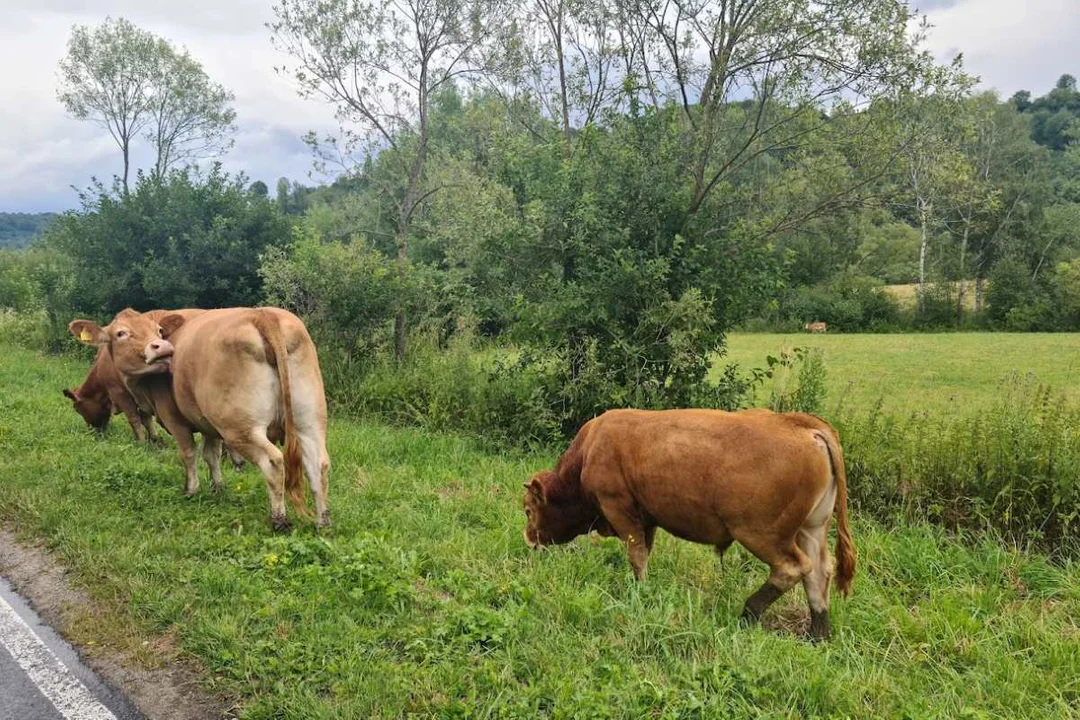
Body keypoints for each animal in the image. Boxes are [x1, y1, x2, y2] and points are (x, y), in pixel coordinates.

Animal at [70, 306, 330, 533]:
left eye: (158, 330)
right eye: (121, 333)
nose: (162, 347)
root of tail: (263, 315)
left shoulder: (174, 418)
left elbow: (188, 453)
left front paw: (191, 489)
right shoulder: (208, 424)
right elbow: (211, 455)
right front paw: (218, 487)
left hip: (241, 428)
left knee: (273, 462)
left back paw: (279, 520)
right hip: (309, 422)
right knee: (318, 463)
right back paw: (322, 522)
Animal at [518, 410, 855, 643]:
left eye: (528, 510)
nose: (529, 539)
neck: (590, 450)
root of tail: (803, 425)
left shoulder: (620, 510)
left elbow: (636, 556)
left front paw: (639, 592)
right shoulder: (646, 518)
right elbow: (644, 553)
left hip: (762, 533)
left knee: (793, 567)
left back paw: (749, 612)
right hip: (811, 528)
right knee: (819, 572)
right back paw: (817, 633)